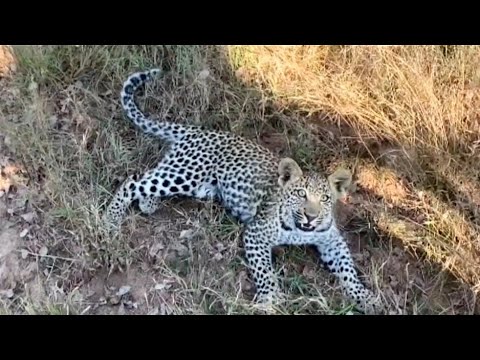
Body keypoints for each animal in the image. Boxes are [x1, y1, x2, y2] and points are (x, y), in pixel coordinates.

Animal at [103, 68, 384, 316]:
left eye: (325, 199)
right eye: (300, 194)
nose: (311, 217)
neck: (300, 232)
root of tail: (198, 130)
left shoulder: (332, 240)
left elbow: (349, 270)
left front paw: (367, 298)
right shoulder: (255, 235)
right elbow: (265, 272)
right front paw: (270, 300)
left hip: (196, 184)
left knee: (150, 179)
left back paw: (148, 203)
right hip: (187, 174)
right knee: (133, 180)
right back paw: (110, 221)